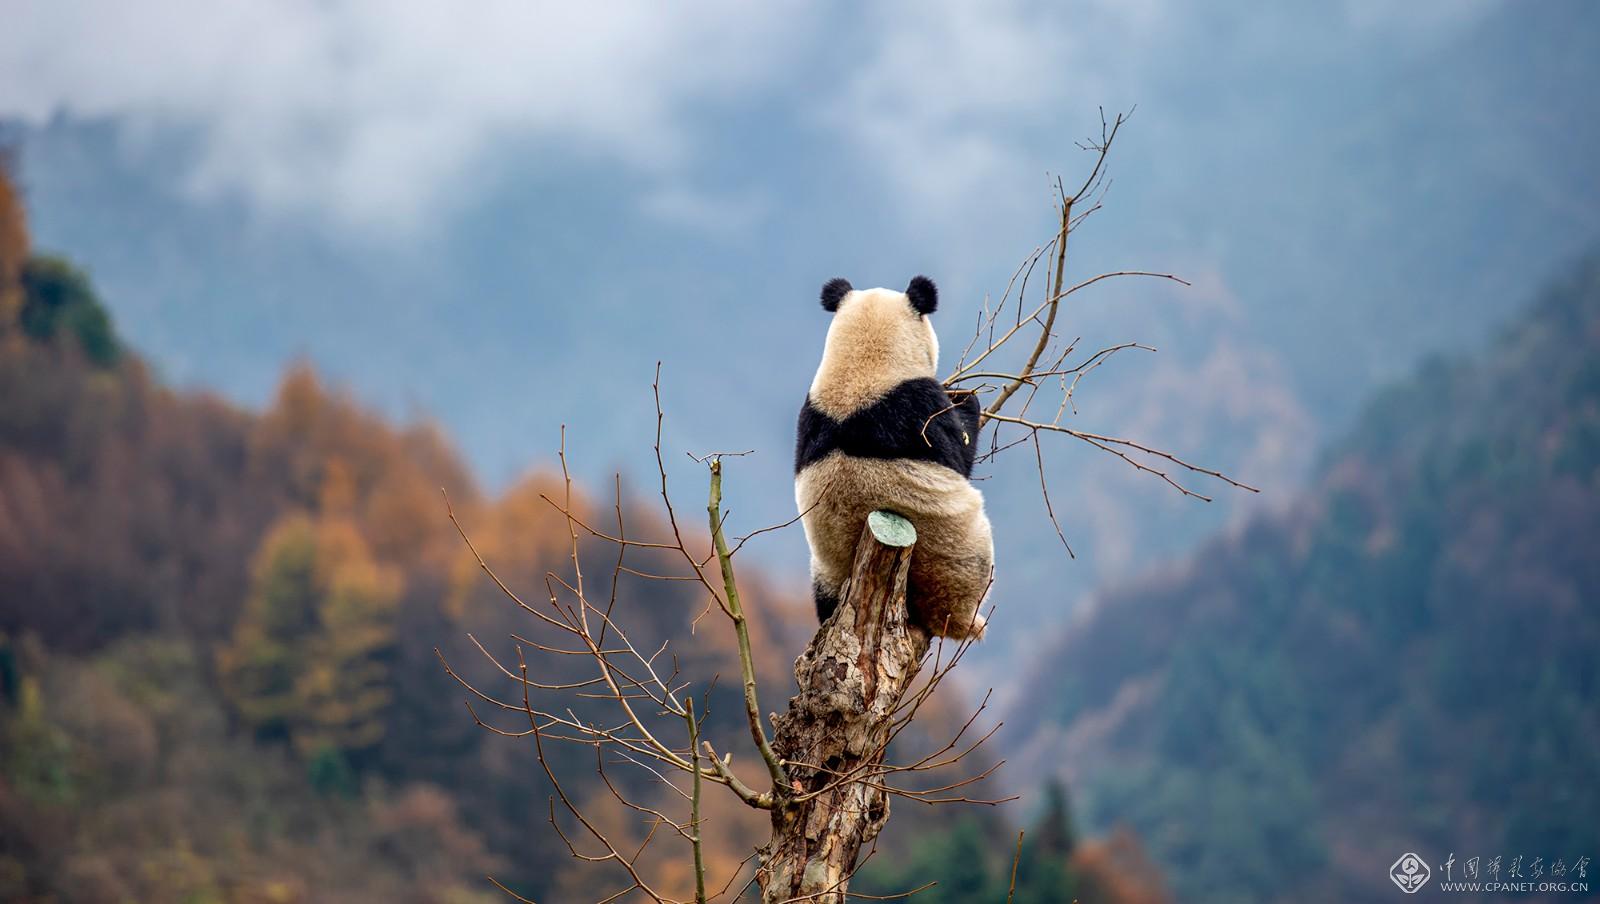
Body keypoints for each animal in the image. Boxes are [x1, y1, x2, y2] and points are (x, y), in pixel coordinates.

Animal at [796, 272, 992, 636]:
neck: (860, 365)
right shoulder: (916, 409)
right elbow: (959, 454)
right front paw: (965, 400)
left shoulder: (809, 415)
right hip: (951, 557)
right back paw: (970, 623)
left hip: (823, 571)